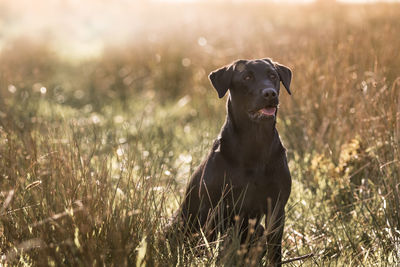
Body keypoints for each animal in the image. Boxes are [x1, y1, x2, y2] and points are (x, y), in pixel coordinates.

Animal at [175, 57, 290, 266]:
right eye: (247, 77)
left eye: (273, 76)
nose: (270, 93)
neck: (255, 143)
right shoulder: (214, 208)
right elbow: (210, 248)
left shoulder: (277, 208)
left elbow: (274, 253)